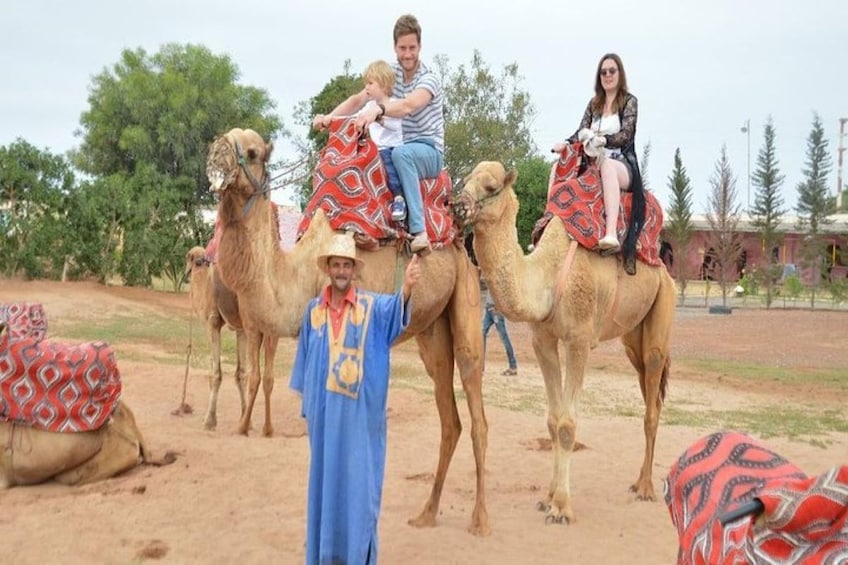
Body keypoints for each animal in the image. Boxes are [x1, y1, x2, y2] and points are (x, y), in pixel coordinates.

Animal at [186, 246, 248, 428]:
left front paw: (209, 420)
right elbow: (241, 372)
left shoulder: (212, 321)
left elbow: (216, 373)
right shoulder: (242, 329)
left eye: (195, 262)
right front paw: (245, 419)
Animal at [205, 129, 490, 536]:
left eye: (253, 151)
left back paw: (480, 520)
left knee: (476, 406)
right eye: (222, 139)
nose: (216, 154)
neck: (298, 273)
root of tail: (455, 239)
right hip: (432, 330)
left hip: (467, 300)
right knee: (449, 419)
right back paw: (427, 513)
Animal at [458, 160, 676, 524]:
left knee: (652, 402)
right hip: (633, 339)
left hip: (663, 312)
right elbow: (552, 419)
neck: (546, 274)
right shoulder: (542, 340)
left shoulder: (579, 340)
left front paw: (562, 507)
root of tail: (663, 267)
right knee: (650, 393)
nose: (455, 204)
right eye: (464, 179)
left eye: (490, 186)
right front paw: (547, 498)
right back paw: (637, 482)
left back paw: (646, 487)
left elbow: (567, 424)